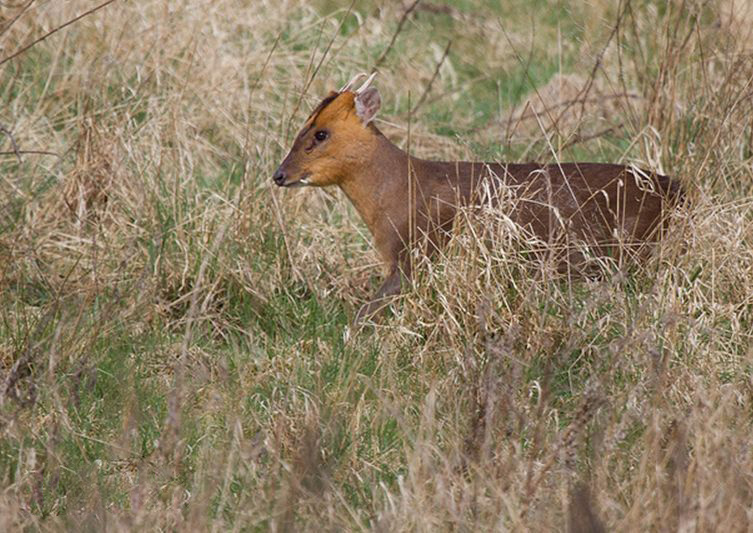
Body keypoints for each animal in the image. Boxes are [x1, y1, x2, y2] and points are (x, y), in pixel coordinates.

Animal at [274, 74, 684, 320]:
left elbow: (367, 311)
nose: (279, 175)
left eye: (321, 133)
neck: (398, 196)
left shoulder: (420, 250)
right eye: (303, 128)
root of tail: (678, 189)